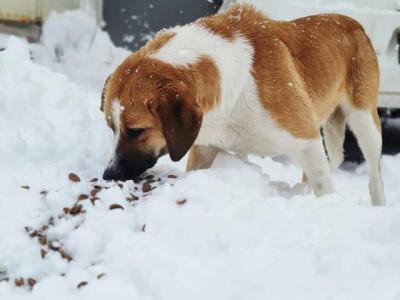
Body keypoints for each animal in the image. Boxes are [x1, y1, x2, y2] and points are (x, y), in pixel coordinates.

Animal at [100, 4, 384, 206]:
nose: (108, 176)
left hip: (365, 122)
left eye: (136, 131)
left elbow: (323, 185)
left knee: (373, 173)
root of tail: (353, 22)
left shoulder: (307, 137)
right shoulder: (205, 148)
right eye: (111, 128)